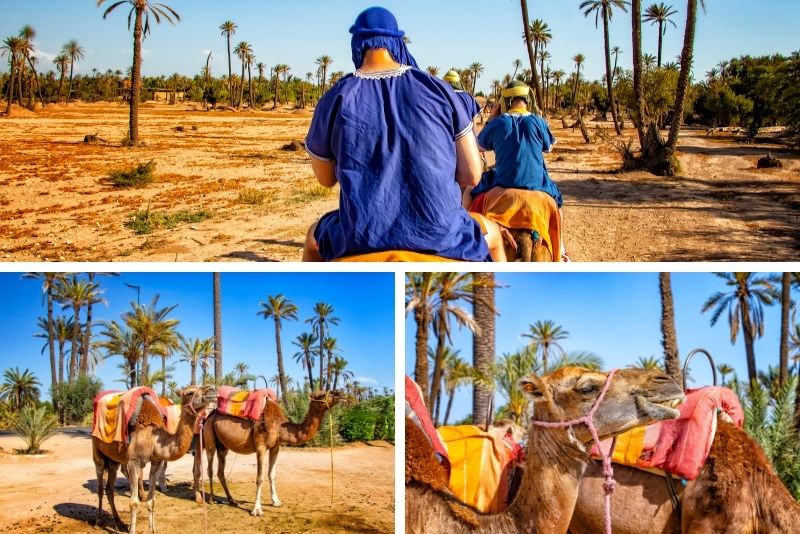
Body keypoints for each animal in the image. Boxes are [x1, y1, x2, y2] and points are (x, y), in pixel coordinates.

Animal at [92, 385, 217, 533]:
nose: (212, 390)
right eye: (190, 393)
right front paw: (132, 530)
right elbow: (133, 503)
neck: (152, 437)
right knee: (100, 485)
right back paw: (98, 521)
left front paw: (152, 530)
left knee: (109, 489)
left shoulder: (157, 462)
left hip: (113, 460)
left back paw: (120, 523)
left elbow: (151, 500)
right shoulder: (133, 461)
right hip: (97, 451)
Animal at [193, 390, 345, 516]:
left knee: (221, 471)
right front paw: (256, 510)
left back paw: (231, 500)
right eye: (322, 394)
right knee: (210, 468)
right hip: (210, 439)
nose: (340, 393)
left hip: (223, 445)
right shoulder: (261, 446)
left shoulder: (275, 447)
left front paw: (276, 501)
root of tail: (209, 416)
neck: (280, 426)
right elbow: (260, 478)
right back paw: (211, 499)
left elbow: (272, 474)